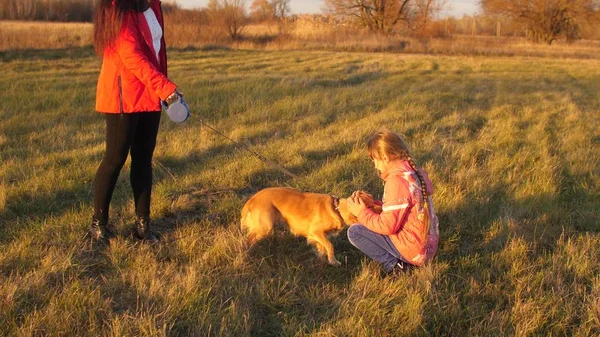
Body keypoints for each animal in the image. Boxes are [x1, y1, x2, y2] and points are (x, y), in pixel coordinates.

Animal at [239, 186, 376, 266]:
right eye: (370, 206)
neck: (336, 209)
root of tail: (252, 198)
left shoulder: (320, 236)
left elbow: (322, 248)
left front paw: (322, 261)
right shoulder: (315, 231)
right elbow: (330, 246)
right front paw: (333, 261)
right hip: (266, 226)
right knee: (248, 239)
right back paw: (247, 254)